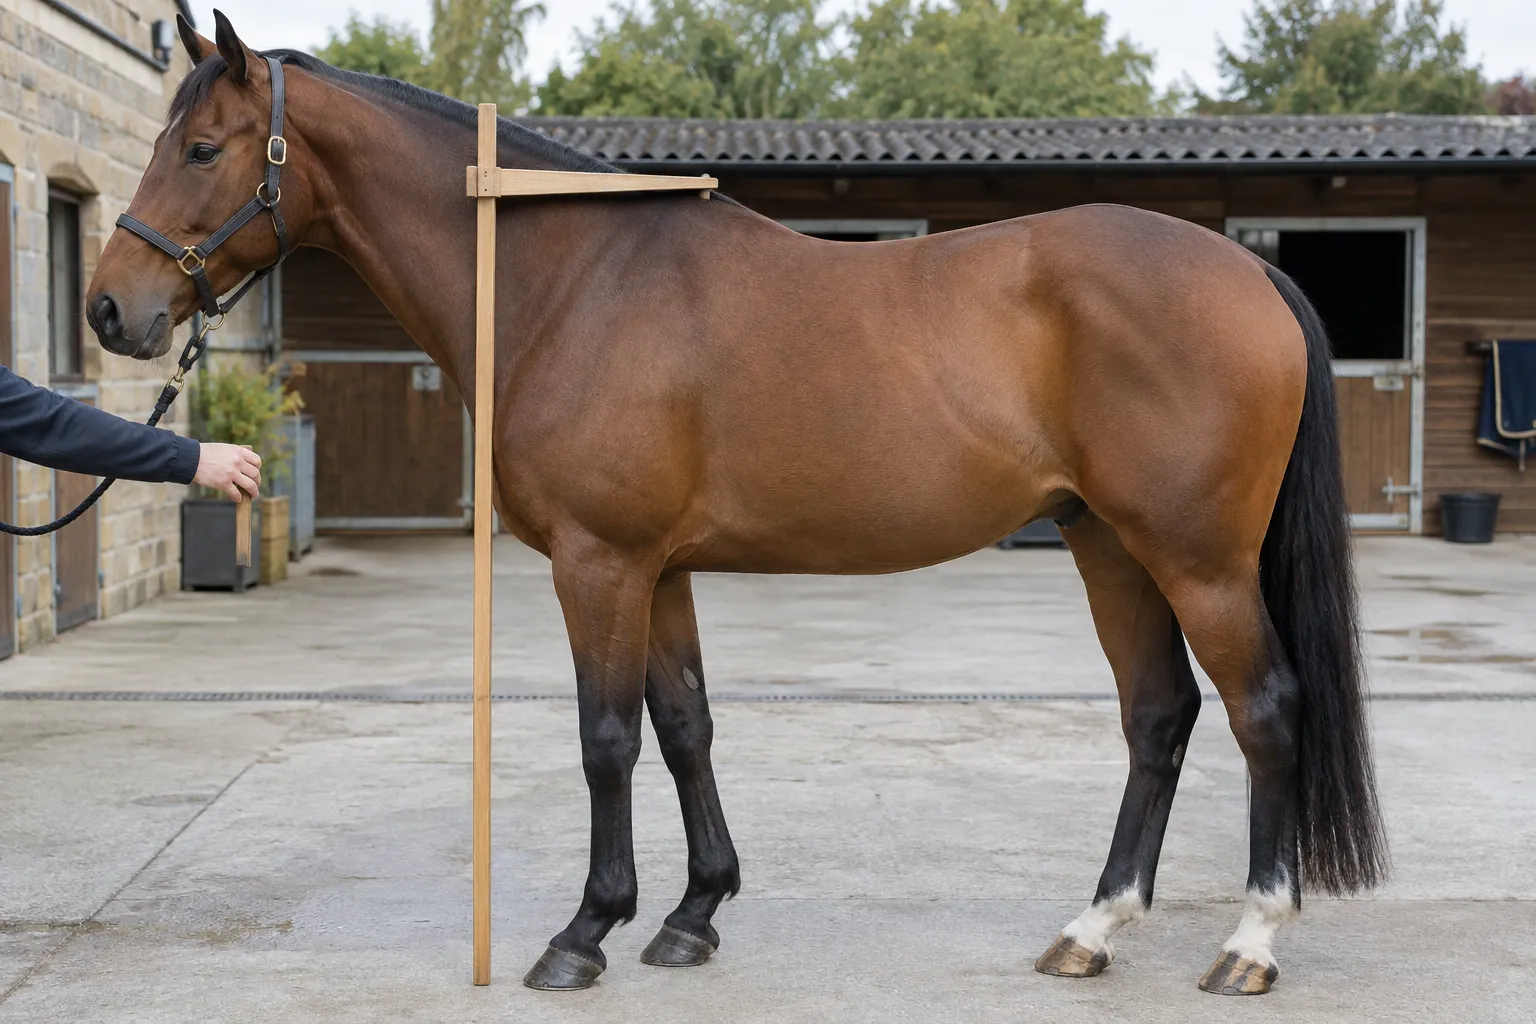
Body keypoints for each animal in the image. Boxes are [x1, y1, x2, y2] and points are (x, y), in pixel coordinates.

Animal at [85, 12, 1386, 996]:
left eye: (203, 146)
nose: (110, 310)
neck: (571, 282)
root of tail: (1249, 269)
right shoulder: (658, 569)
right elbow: (686, 726)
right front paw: (692, 913)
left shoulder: (599, 562)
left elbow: (607, 738)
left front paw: (583, 931)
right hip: (1108, 542)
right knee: (1160, 714)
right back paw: (1091, 928)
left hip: (1197, 557)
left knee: (1265, 708)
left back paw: (1249, 943)